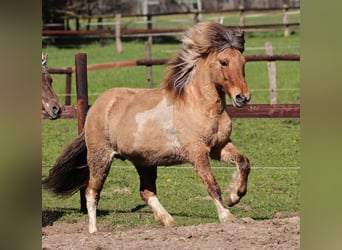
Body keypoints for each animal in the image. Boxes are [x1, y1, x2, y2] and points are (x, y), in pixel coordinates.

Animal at [42, 22, 251, 233]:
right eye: (223, 62)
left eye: (243, 61)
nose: (243, 97)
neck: (199, 105)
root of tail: (97, 107)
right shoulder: (197, 152)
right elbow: (211, 184)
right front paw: (227, 216)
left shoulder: (219, 147)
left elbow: (244, 162)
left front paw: (234, 196)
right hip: (100, 157)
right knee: (91, 191)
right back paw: (94, 231)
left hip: (144, 161)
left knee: (146, 191)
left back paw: (168, 221)